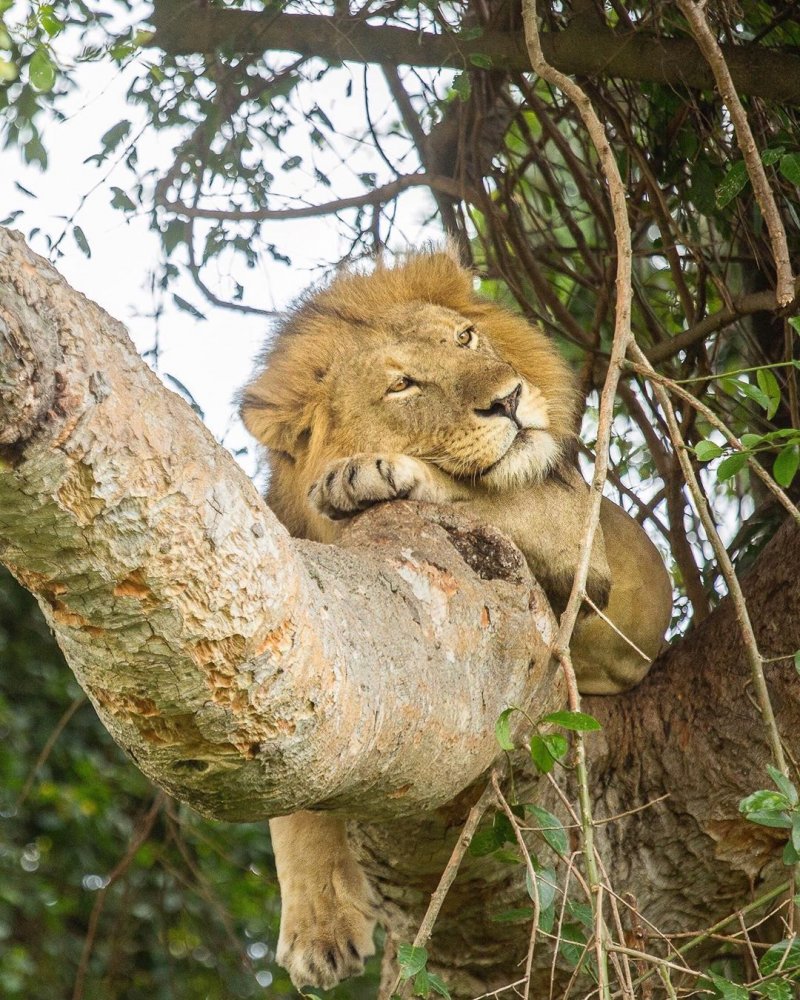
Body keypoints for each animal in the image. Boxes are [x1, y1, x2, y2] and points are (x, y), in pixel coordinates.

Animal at [239, 250, 676, 992]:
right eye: (403, 385)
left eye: (465, 339)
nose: (508, 399)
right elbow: (291, 801)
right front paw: (317, 928)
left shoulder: (576, 535)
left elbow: (484, 491)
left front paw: (367, 473)